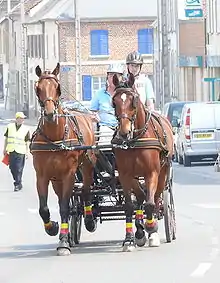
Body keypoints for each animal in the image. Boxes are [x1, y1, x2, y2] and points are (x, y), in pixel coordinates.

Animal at [29, 63, 96, 256]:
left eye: (57, 87)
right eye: (38, 88)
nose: (50, 114)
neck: (55, 137)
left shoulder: (69, 174)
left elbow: (66, 207)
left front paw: (64, 242)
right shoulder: (42, 176)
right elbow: (44, 208)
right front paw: (52, 227)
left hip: (86, 166)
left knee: (86, 191)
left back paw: (89, 220)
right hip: (56, 179)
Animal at [111, 74, 174, 253]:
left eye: (133, 101)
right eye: (114, 102)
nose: (124, 132)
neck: (135, 139)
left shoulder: (151, 173)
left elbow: (150, 203)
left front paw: (152, 230)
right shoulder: (125, 175)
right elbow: (129, 206)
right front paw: (129, 239)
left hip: (163, 172)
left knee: (157, 198)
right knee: (139, 196)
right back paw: (139, 232)